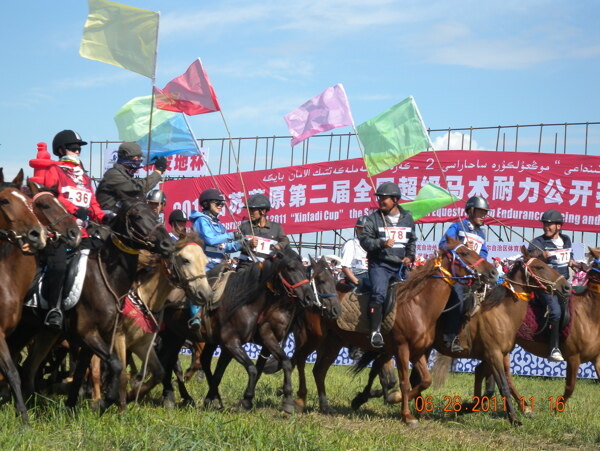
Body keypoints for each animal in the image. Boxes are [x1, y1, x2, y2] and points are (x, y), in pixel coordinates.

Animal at [10, 200, 175, 412]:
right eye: (138, 216)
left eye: (155, 215)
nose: (168, 244)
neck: (107, 279)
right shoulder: (88, 334)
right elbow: (116, 365)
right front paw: (105, 401)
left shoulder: (94, 339)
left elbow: (82, 373)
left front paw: (73, 408)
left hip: (41, 332)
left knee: (29, 367)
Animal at [198, 247, 318, 414]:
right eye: (290, 268)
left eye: (307, 271)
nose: (309, 298)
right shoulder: (255, 337)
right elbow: (256, 369)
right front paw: (247, 400)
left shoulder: (268, 341)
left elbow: (280, 364)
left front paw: (286, 399)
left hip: (212, 341)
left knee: (205, 361)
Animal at [290, 238, 496, 426]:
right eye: (465, 253)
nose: (493, 272)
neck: (418, 306)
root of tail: (310, 295)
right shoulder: (401, 348)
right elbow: (405, 382)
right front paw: (406, 414)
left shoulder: (418, 351)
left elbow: (425, 380)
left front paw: (392, 399)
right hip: (312, 337)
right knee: (299, 360)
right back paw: (298, 400)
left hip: (333, 342)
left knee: (319, 371)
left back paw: (325, 406)